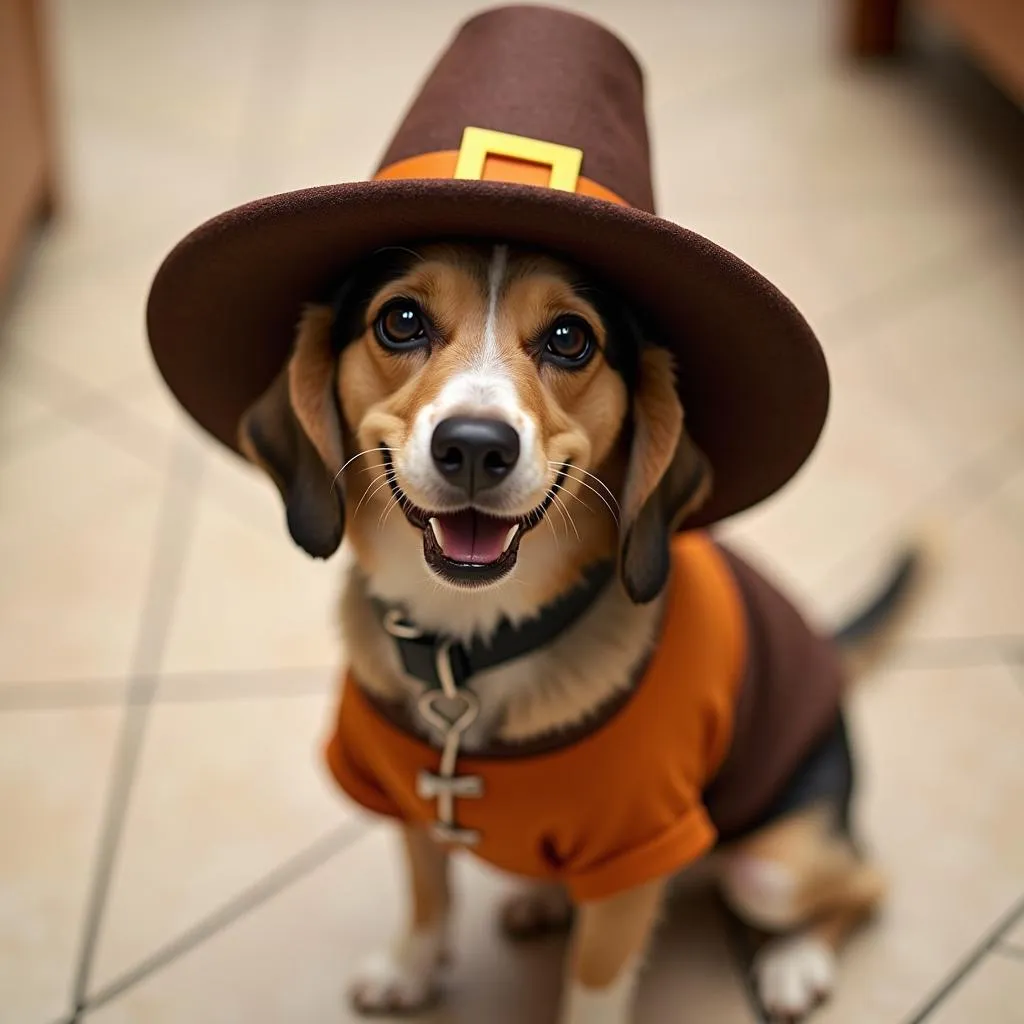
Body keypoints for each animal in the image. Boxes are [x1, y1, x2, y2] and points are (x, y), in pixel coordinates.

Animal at [235, 241, 917, 1024]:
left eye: (570, 338)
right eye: (400, 321)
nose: (475, 446)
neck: (471, 647)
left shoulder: (638, 853)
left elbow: (593, 979)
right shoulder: (404, 796)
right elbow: (429, 894)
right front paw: (411, 968)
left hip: (774, 869)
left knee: (866, 885)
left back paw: (793, 961)